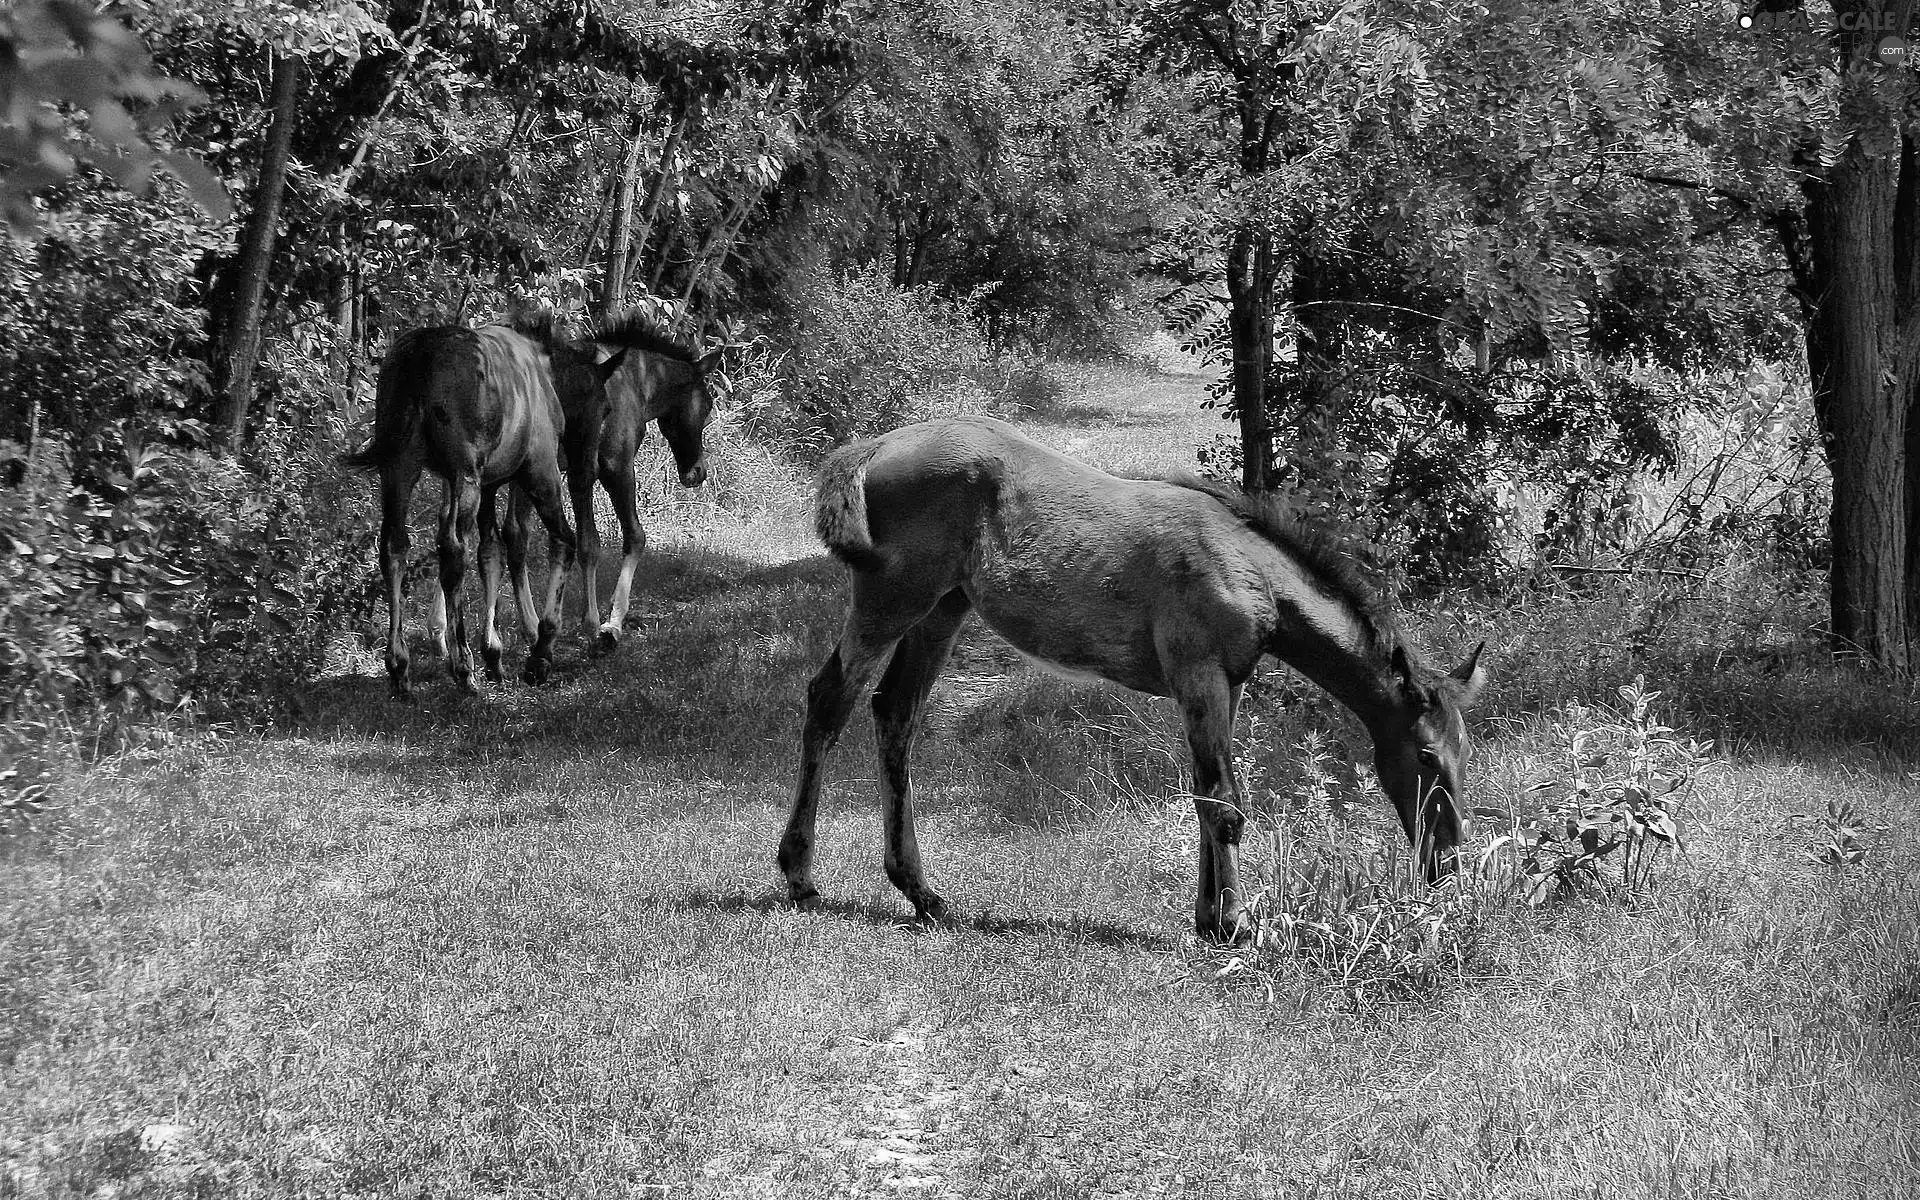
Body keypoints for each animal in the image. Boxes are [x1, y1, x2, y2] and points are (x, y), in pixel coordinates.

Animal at [341, 322, 618, 698]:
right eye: (604, 407)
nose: (588, 470)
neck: (545, 377)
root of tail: (422, 351)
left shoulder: (490, 484)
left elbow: (491, 554)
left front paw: (495, 655)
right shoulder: (539, 473)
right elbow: (563, 541)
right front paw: (540, 652)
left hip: (400, 467)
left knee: (394, 548)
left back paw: (399, 666)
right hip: (464, 472)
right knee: (453, 550)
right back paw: (463, 667)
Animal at [503, 303, 721, 648]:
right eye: (707, 404)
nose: (696, 472)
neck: (639, 384)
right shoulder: (610, 466)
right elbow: (620, 538)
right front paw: (605, 623)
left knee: (510, 535)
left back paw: (524, 624)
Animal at [775, 416, 1482, 940]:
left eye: (1464, 755)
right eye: (1425, 756)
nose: (1447, 862)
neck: (1250, 568)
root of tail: (878, 445)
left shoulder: (1226, 681)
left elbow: (1206, 792)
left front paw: (1209, 918)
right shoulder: (1198, 672)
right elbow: (1223, 800)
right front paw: (1234, 923)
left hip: (942, 611)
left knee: (895, 712)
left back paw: (921, 892)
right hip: (891, 601)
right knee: (829, 701)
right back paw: (800, 875)